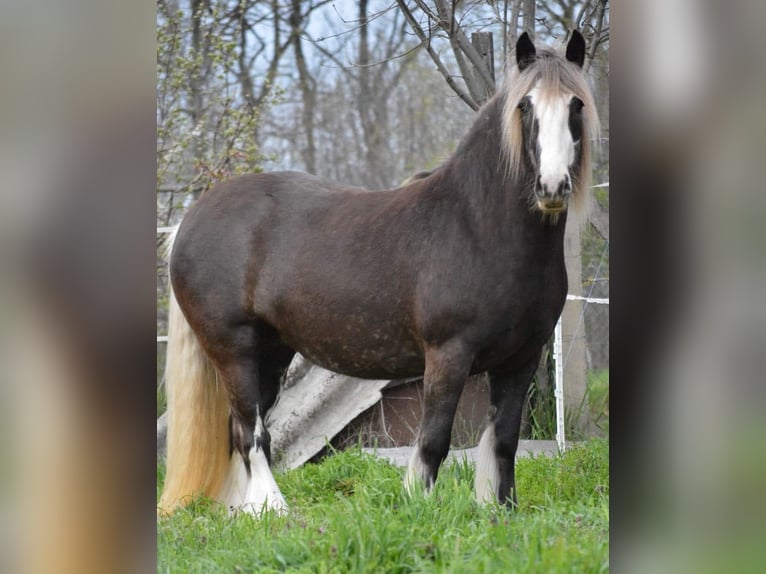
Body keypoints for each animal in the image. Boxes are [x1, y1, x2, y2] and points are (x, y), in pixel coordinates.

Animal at [158, 31, 600, 516]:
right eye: (526, 106)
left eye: (576, 104)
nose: (552, 187)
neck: (476, 226)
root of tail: (190, 219)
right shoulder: (449, 356)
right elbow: (434, 441)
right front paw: (418, 506)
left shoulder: (520, 358)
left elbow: (503, 440)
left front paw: (500, 512)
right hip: (233, 350)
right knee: (250, 434)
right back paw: (276, 510)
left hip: (269, 354)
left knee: (238, 433)